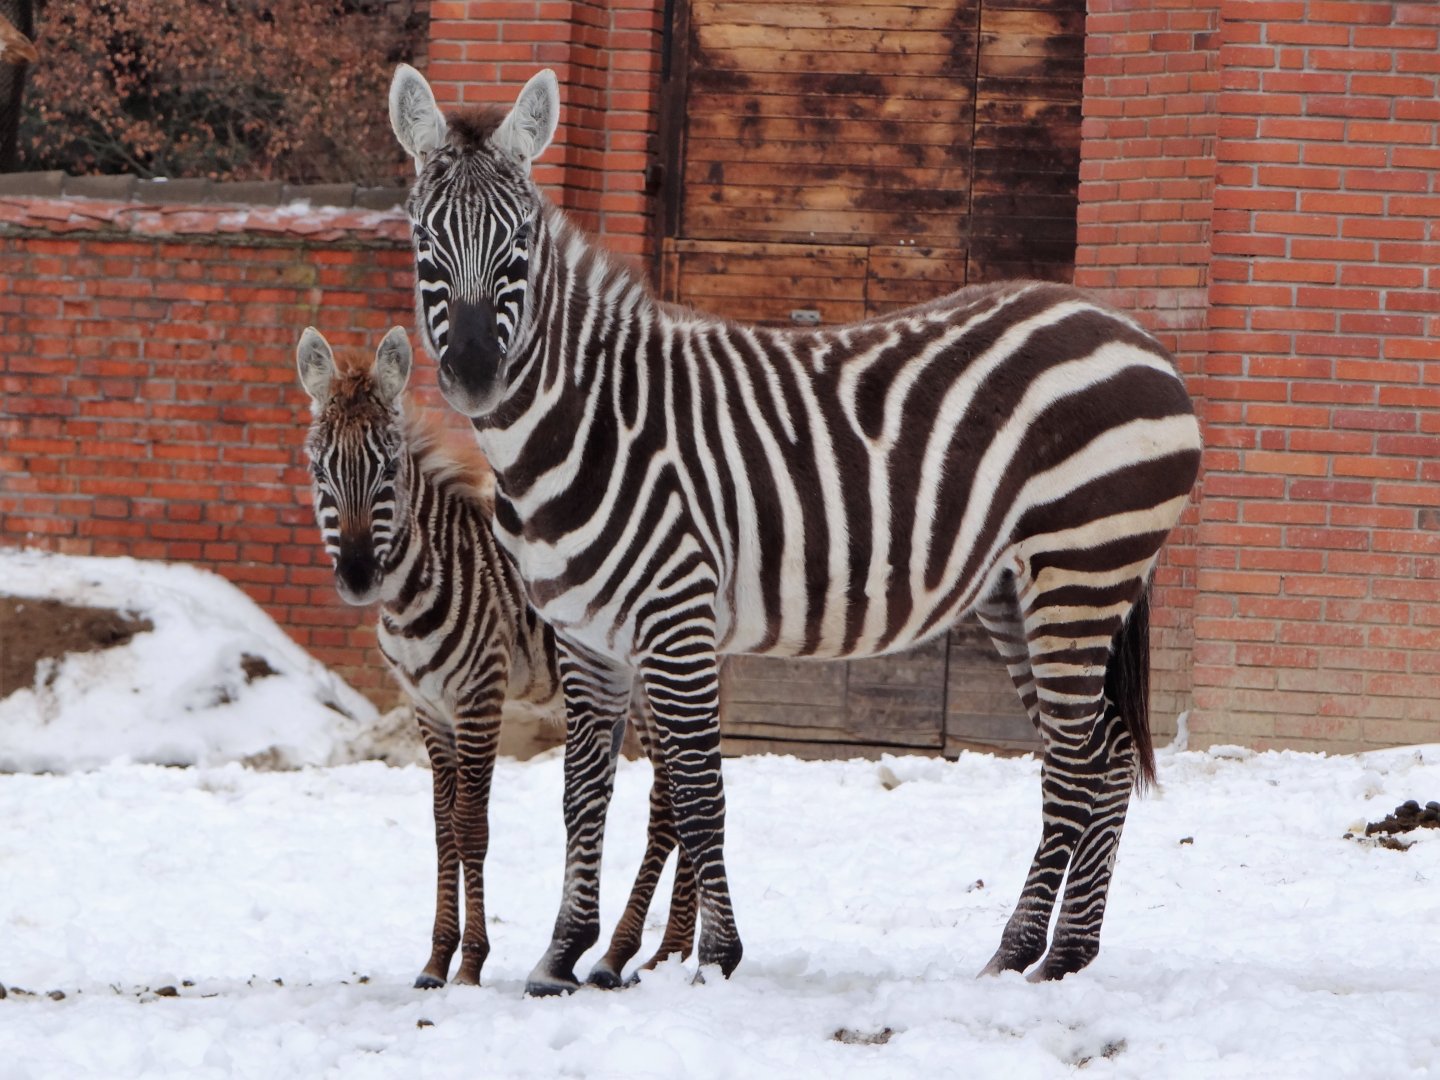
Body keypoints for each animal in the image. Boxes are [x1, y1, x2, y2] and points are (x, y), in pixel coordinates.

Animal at [296, 324, 697, 986]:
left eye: (388, 469)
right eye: (318, 467)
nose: (356, 578)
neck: (416, 585)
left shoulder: (479, 696)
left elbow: (471, 827)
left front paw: (469, 964)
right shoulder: (427, 706)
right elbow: (441, 830)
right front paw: (436, 960)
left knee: (670, 798)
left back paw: (628, 953)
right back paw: (670, 950)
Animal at [388, 64, 1203, 989]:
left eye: (519, 243)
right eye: (424, 241)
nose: (474, 375)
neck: (592, 423)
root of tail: (1128, 330)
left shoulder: (678, 619)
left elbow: (699, 792)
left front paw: (715, 959)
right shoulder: (584, 635)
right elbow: (582, 794)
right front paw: (561, 957)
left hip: (1082, 566)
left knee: (1079, 761)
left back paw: (1028, 952)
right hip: (1021, 592)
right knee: (1104, 757)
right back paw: (1064, 953)